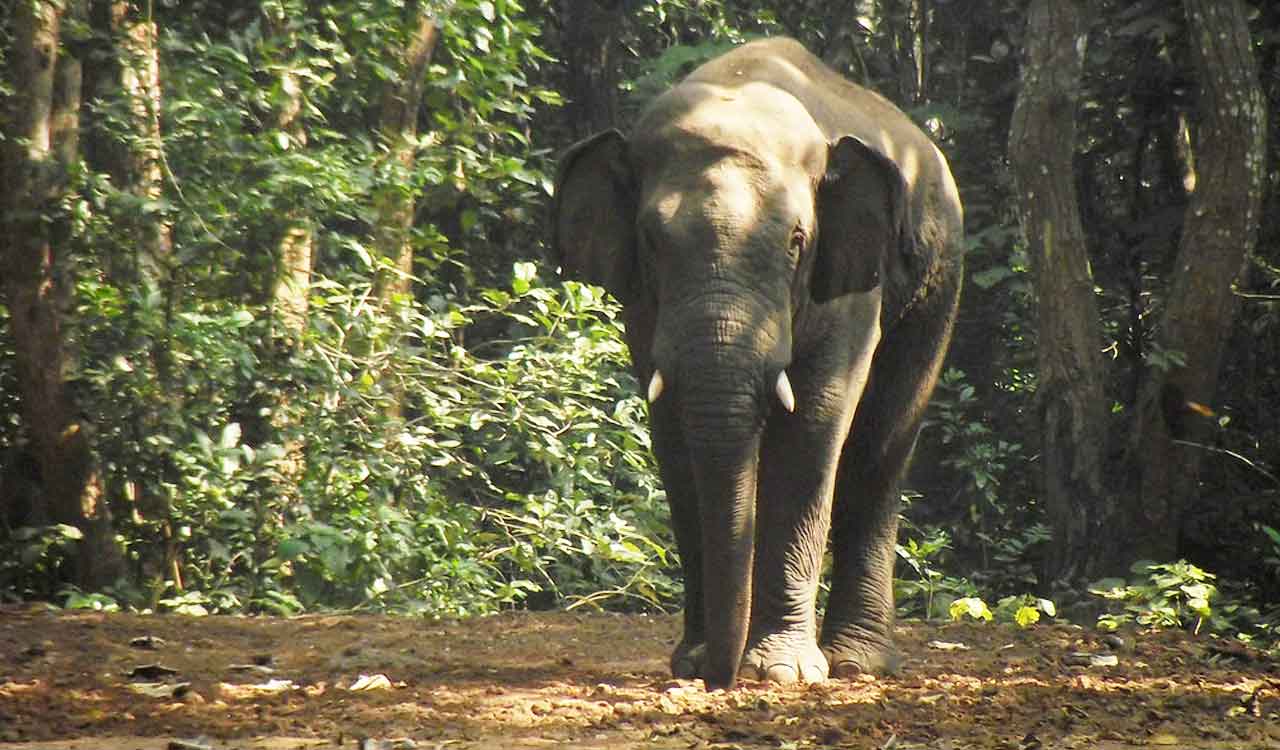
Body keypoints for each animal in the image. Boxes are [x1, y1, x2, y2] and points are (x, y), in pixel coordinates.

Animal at [550, 37, 963, 690]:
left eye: (797, 241)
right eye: (652, 241)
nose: (718, 677)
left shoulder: (849, 284)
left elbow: (816, 422)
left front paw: (783, 672)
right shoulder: (642, 306)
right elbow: (673, 434)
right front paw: (696, 661)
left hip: (938, 286)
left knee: (882, 444)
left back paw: (857, 661)